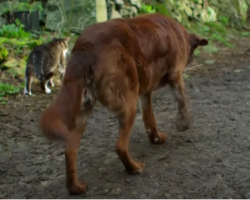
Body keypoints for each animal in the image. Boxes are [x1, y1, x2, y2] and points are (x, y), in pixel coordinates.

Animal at [38, 13, 207, 195]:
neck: (179, 33)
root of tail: (84, 47)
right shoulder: (176, 75)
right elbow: (183, 100)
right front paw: (184, 123)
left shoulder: (145, 93)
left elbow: (150, 119)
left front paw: (156, 138)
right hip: (129, 104)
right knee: (120, 146)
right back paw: (133, 168)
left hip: (83, 112)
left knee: (70, 151)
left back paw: (75, 187)